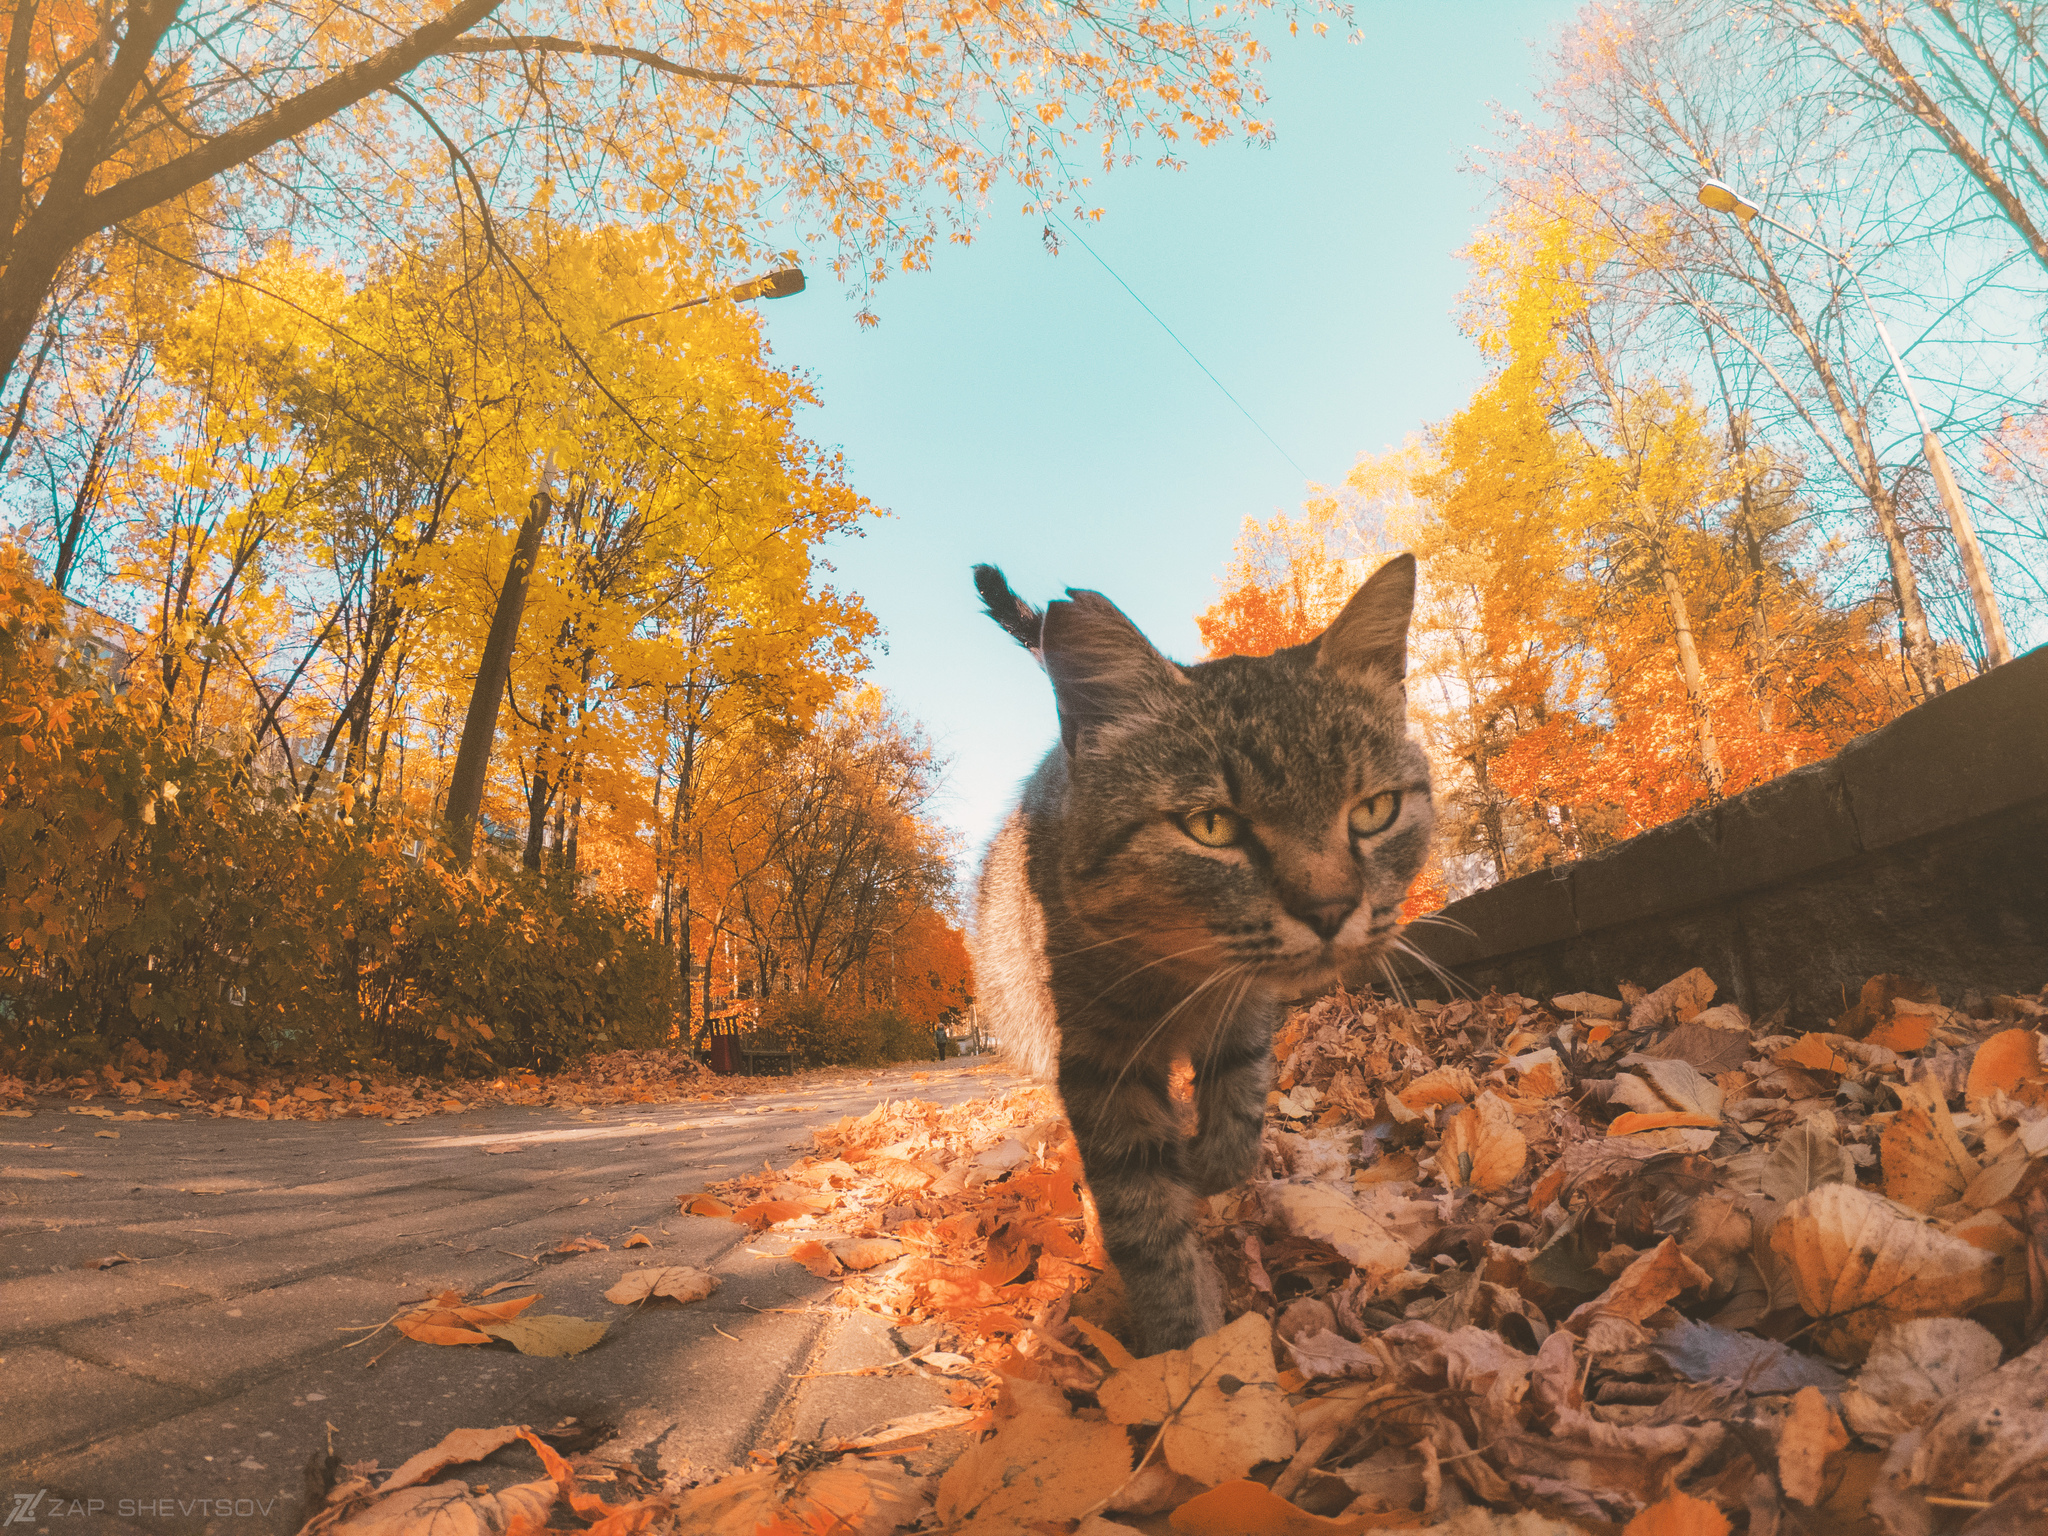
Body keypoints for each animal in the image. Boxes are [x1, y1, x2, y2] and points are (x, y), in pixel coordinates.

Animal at [966, 561, 1433, 1351]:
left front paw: (1211, 1166)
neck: (1190, 977)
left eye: (1373, 811)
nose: (1330, 909)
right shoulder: (1100, 1062)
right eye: (1211, 826)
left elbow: (1239, 1106)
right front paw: (1188, 1344)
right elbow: (1146, 1219)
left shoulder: (1245, 1014)